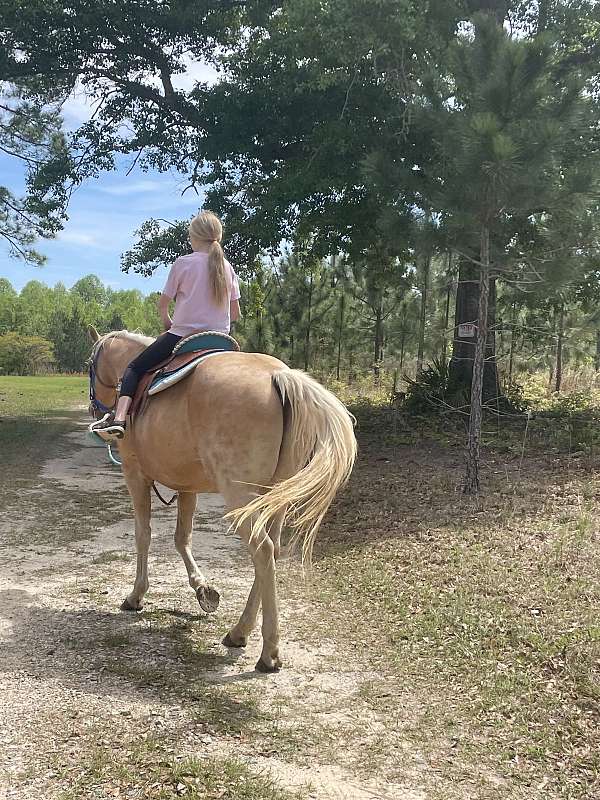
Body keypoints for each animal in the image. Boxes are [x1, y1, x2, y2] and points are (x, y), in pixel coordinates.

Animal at [88, 328, 356, 672]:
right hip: (275, 497)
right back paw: (239, 632)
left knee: (262, 550)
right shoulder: (186, 486)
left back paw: (268, 652)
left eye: (90, 365)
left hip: (240, 496)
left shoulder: (135, 475)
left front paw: (136, 596)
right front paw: (203, 590)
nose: (96, 409)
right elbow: (182, 538)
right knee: (272, 550)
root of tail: (279, 376)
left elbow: (143, 535)